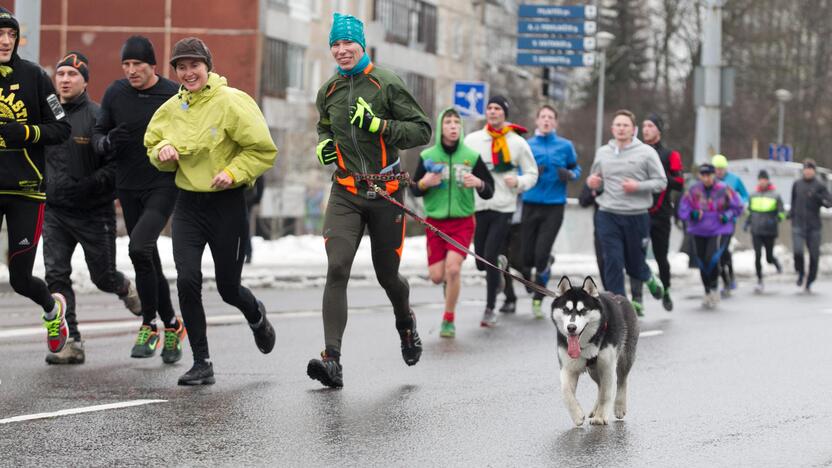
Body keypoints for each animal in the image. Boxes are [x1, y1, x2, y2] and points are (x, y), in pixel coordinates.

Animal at [552, 276, 636, 426]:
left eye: (583, 310)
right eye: (565, 309)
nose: (571, 327)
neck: (587, 343)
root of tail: (620, 296)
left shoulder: (607, 366)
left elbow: (605, 394)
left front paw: (600, 416)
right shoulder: (568, 367)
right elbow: (565, 392)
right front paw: (577, 415)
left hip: (624, 358)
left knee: (621, 380)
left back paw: (619, 406)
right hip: (594, 370)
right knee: (600, 385)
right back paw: (595, 409)